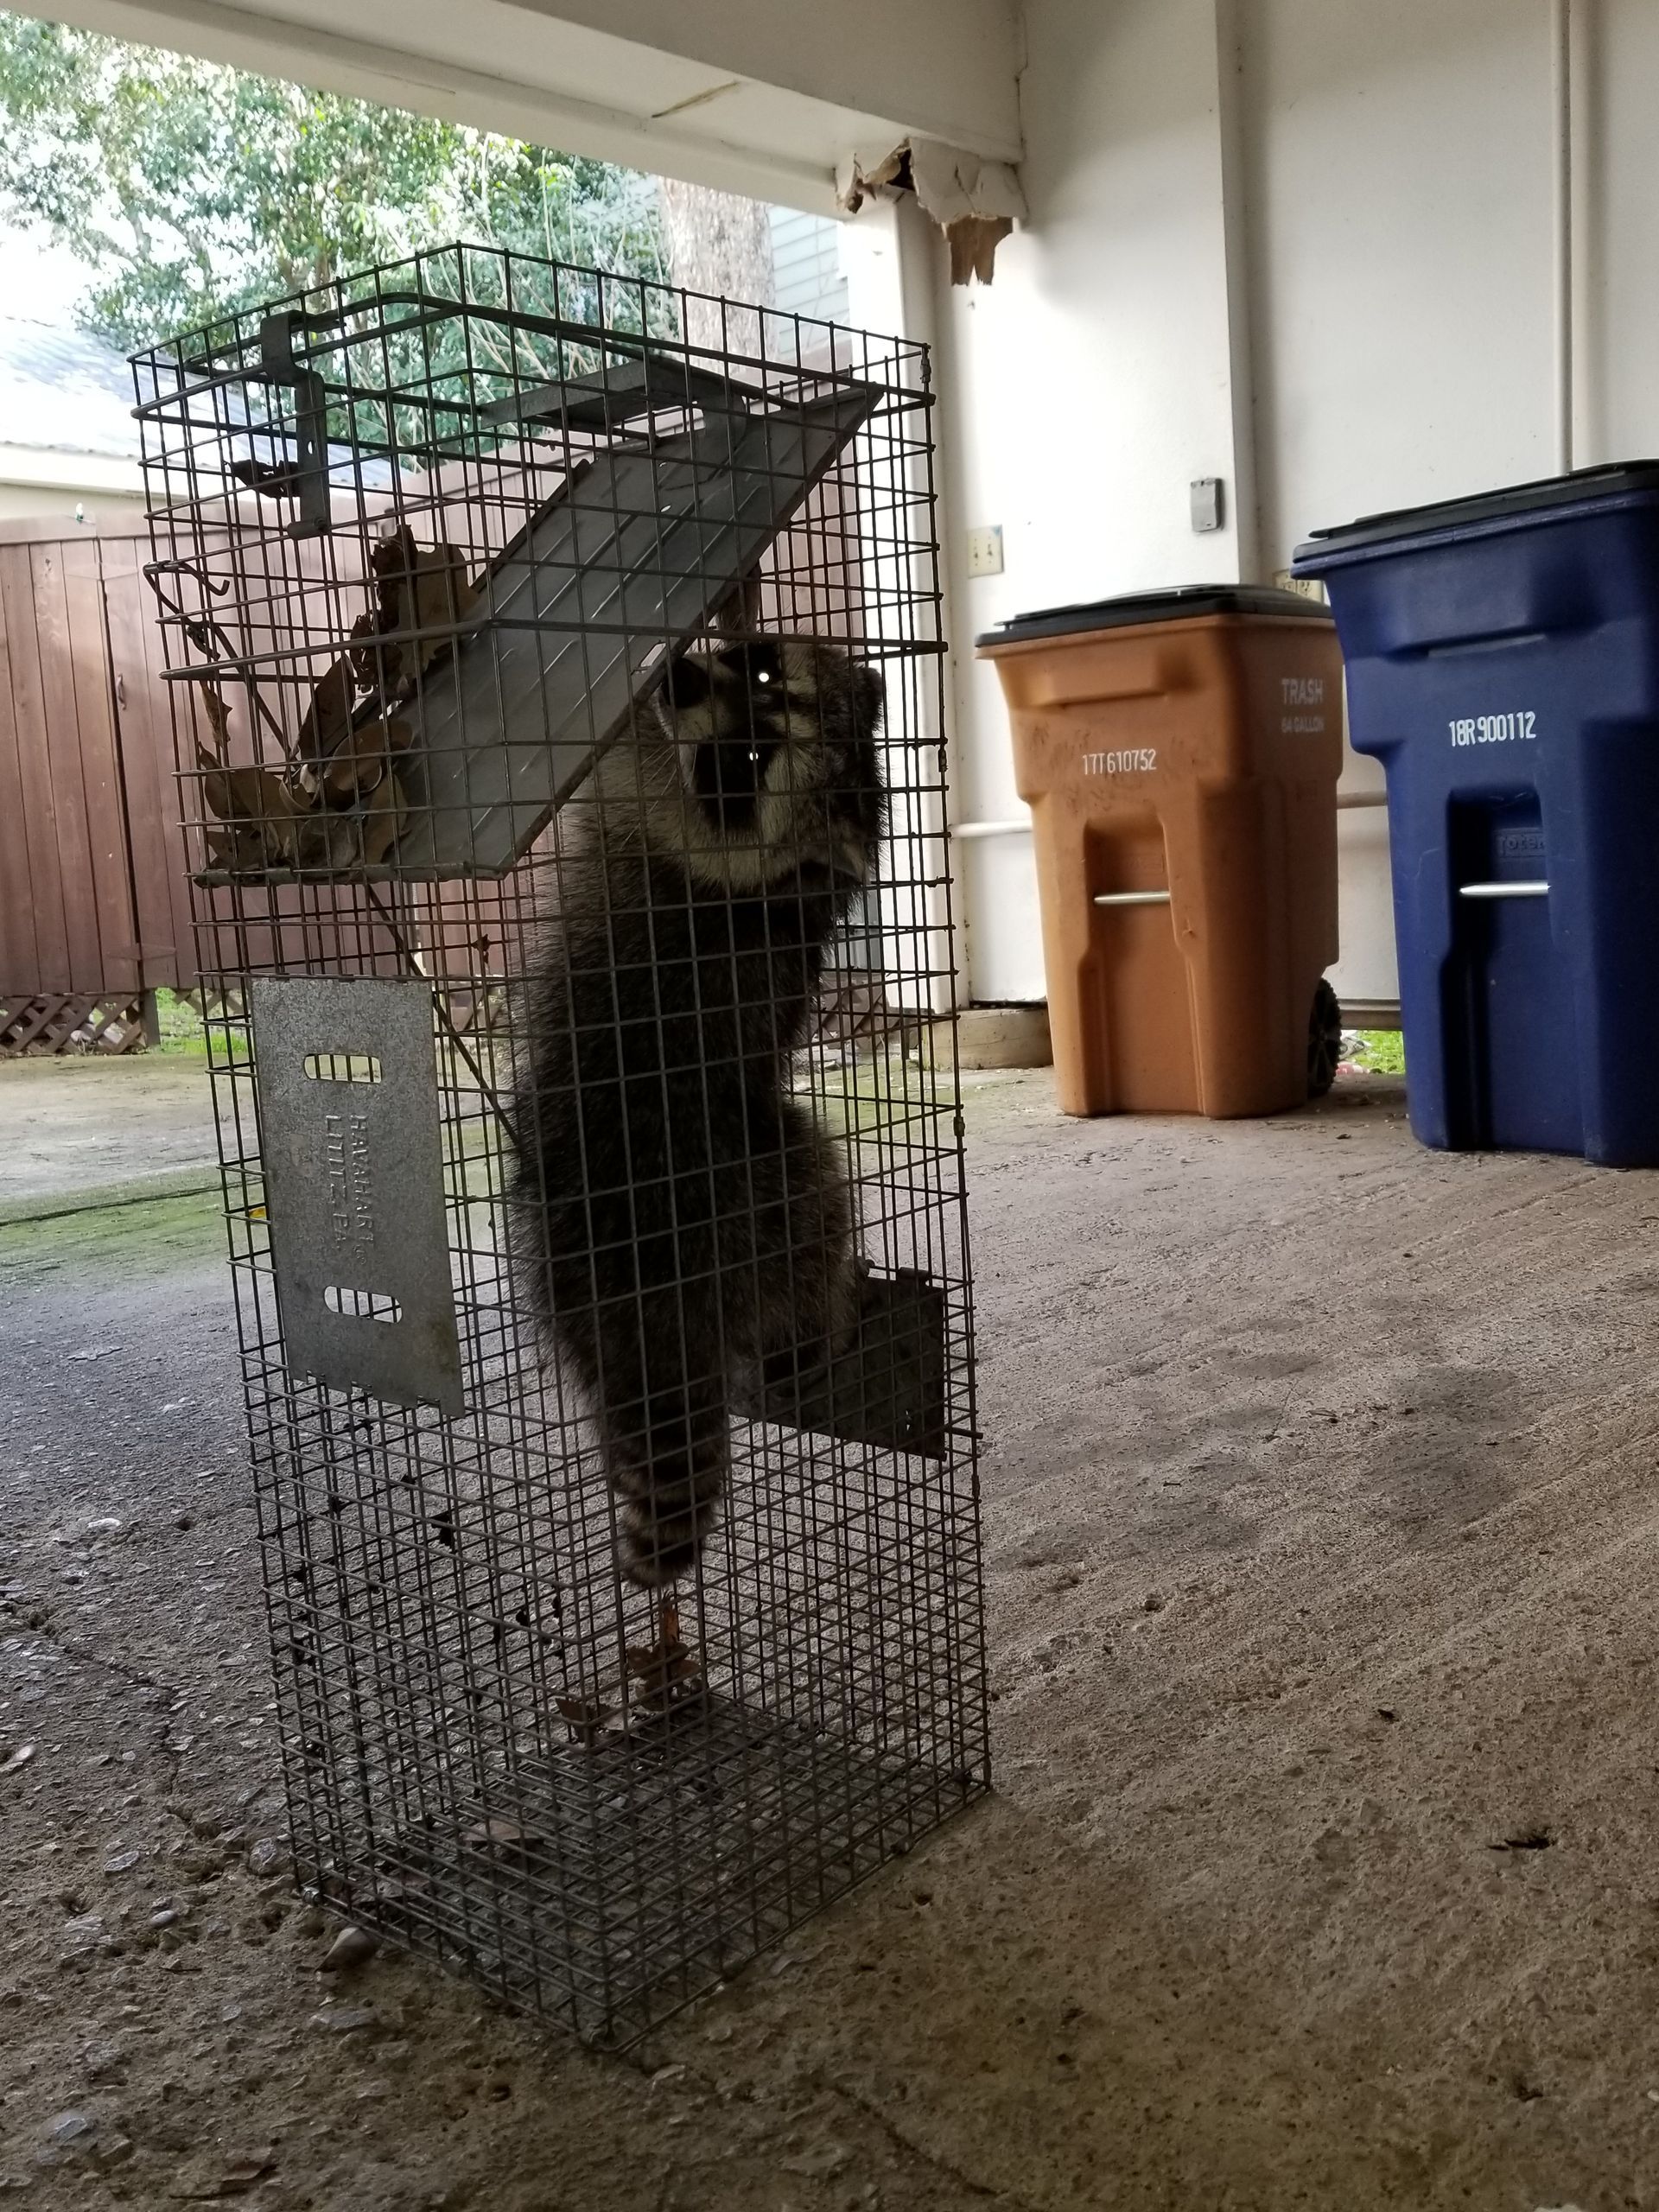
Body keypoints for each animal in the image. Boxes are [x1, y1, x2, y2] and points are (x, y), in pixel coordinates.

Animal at [511, 638, 887, 1590]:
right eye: (761, 671)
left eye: (749, 761)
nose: (679, 679)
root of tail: (650, 1285)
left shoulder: (684, 832)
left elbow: (633, 778)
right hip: (556, 1258)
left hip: (753, 1196)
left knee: (815, 1183)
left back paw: (820, 1321)